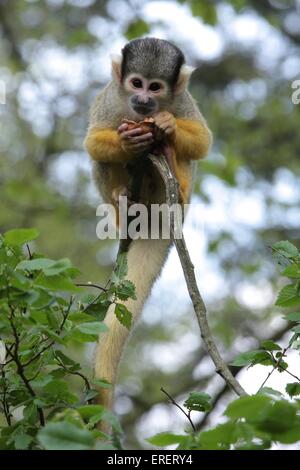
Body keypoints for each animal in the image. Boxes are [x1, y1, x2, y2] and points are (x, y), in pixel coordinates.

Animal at [83, 38, 212, 414]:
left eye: (155, 87)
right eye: (136, 83)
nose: (143, 100)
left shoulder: (182, 100)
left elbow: (202, 140)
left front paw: (167, 125)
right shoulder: (111, 97)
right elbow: (93, 142)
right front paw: (128, 141)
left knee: (183, 159)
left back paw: (174, 179)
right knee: (102, 161)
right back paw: (122, 200)